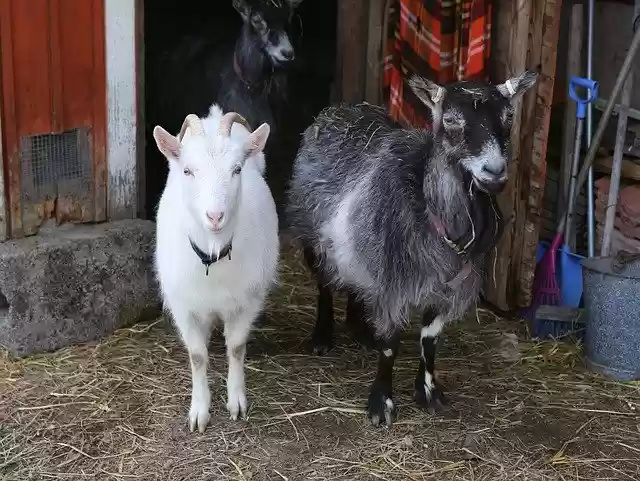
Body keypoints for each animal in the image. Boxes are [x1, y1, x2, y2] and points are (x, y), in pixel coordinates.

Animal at [153, 105, 279, 433]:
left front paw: (236, 402)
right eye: (187, 170)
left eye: (237, 169)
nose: (215, 216)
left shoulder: (247, 301)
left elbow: (236, 348)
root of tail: (212, 117)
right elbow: (197, 356)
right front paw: (199, 411)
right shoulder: (184, 306)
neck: (212, 256)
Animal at [285, 70, 538, 426]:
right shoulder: (394, 283)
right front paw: (381, 405)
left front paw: (428, 392)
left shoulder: (447, 287)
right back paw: (323, 336)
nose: (494, 171)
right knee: (324, 284)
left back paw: (360, 328)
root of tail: (344, 107)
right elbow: (390, 343)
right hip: (313, 236)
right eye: (450, 120)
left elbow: (429, 339)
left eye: (509, 117)